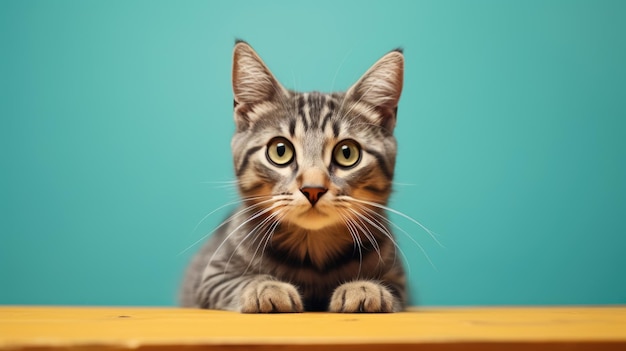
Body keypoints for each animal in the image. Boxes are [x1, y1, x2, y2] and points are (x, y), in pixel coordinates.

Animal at [180, 41, 404, 314]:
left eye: (347, 153)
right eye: (280, 150)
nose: (313, 189)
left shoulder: (400, 280)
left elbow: (390, 285)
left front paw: (365, 287)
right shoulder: (211, 276)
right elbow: (239, 281)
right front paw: (265, 287)